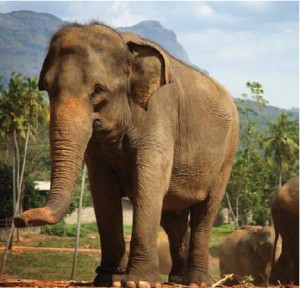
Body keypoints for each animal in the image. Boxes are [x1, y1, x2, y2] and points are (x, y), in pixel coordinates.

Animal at [13, 23, 239, 288]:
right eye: (45, 88)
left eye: (98, 90)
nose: (19, 219)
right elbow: (103, 190)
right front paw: (107, 279)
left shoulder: (159, 112)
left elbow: (149, 183)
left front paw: (138, 282)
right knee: (173, 218)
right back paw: (177, 279)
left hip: (227, 153)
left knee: (206, 211)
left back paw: (196, 281)